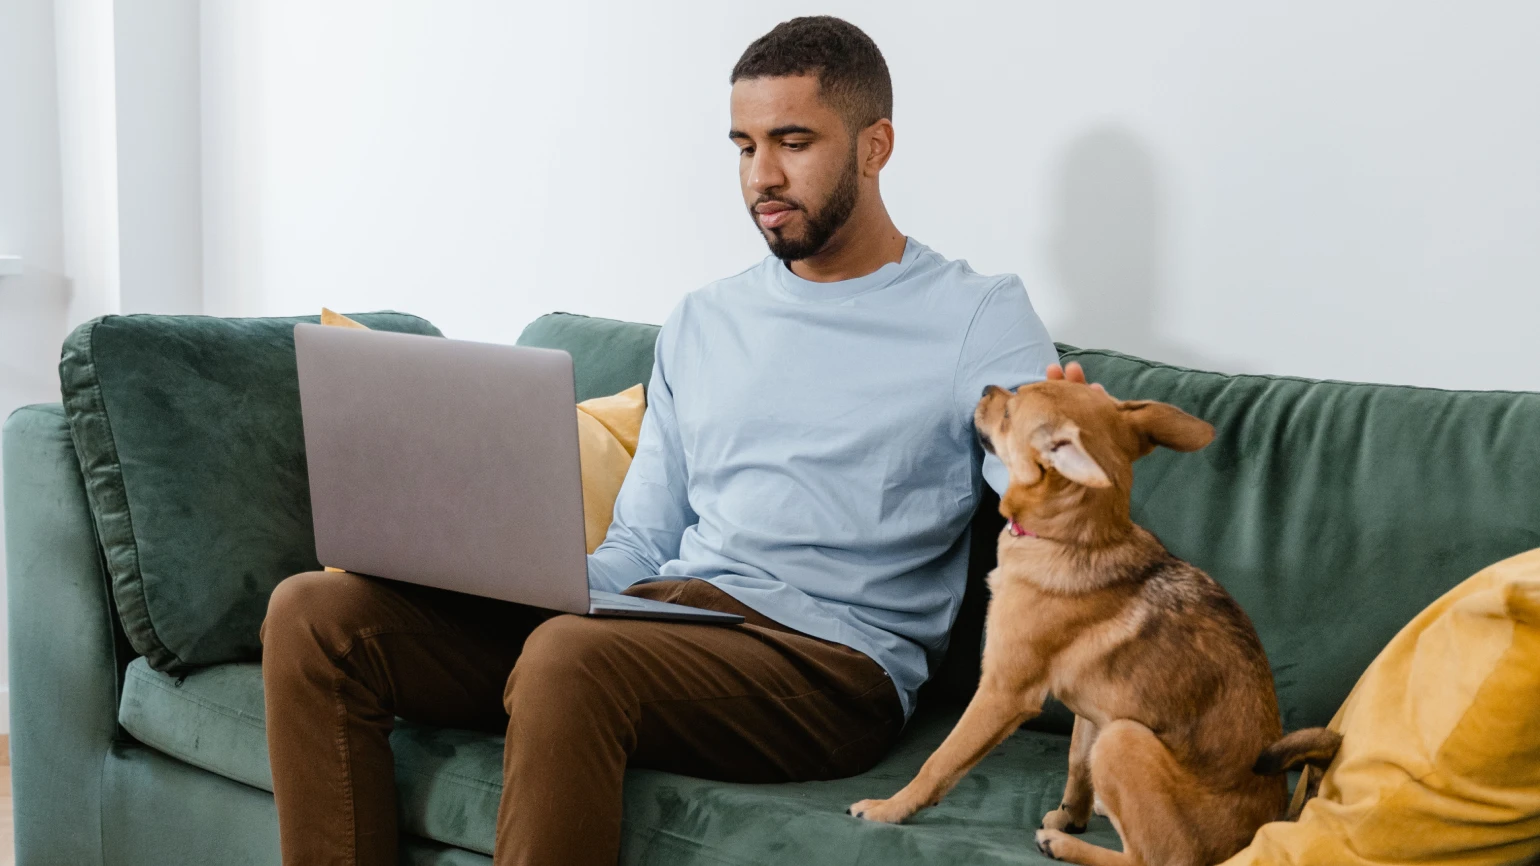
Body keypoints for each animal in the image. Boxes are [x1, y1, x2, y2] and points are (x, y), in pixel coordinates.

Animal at [850, 379, 1342, 862]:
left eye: (1009, 413)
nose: (987, 387)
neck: (1074, 538)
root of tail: (1262, 832)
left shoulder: (1002, 693)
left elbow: (941, 760)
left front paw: (890, 808)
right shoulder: (1091, 710)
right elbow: (1076, 763)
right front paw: (1072, 815)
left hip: (1122, 738)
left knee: (1153, 858)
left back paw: (1066, 846)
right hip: (1113, 728)